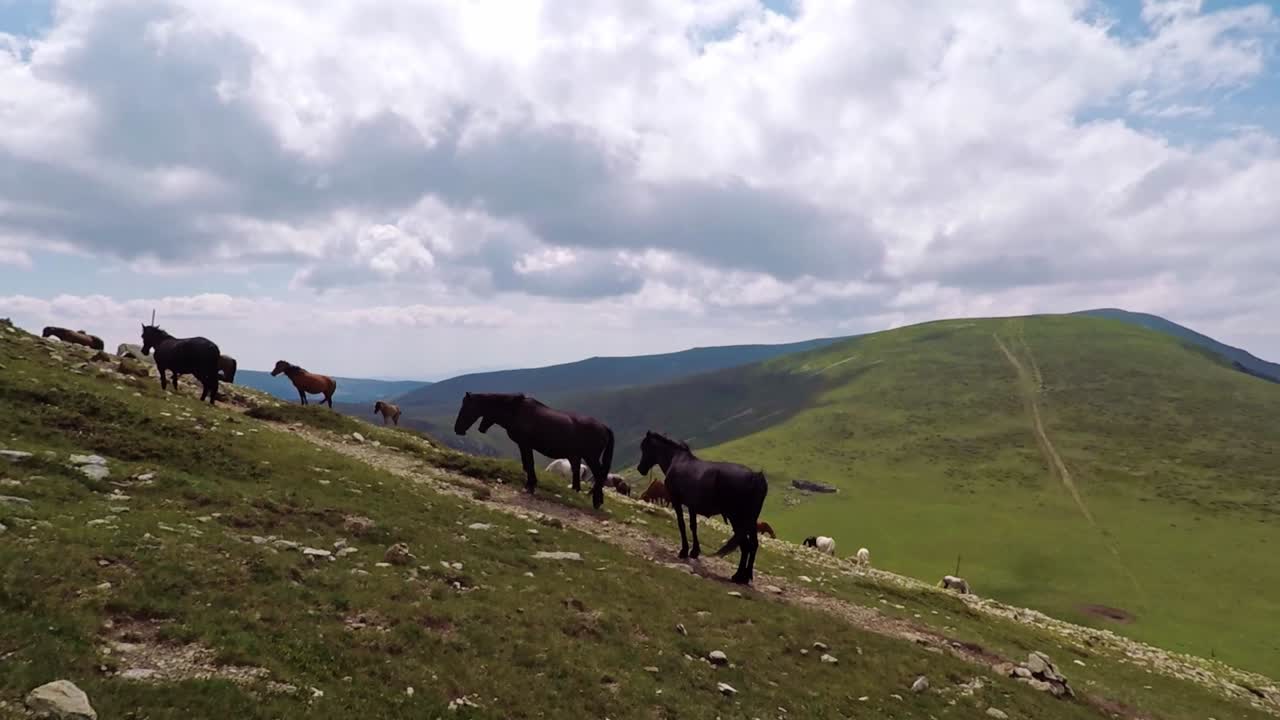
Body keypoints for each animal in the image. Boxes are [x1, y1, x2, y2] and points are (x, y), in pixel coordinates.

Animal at [453, 392, 614, 509]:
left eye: (466, 408)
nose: (457, 429)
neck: (516, 411)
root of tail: (604, 427)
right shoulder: (522, 445)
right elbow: (526, 464)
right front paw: (529, 484)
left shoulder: (526, 445)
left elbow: (529, 464)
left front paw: (530, 486)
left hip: (591, 457)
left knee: (600, 475)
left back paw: (597, 501)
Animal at [637, 431, 768, 585]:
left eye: (645, 447)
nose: (640, 469)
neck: (676, 460)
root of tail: (755, 476)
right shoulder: (692, 506)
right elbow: (693, 526)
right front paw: (694, 552)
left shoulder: (677, 501)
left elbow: (682, 524)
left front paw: (684, 551)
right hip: (750, 522)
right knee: (753, 545)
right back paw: (746, 576)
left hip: (737, 519)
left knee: (745, 545)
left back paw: (738, 576)